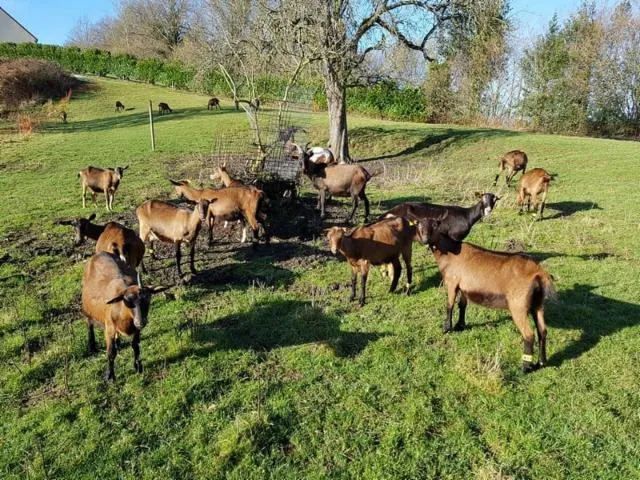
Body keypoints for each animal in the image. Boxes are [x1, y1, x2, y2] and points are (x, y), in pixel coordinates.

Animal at [81, 251, 168, 382]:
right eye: (127, 301)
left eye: (148, 298)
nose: (140, 322)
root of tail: (100, 253)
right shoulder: (109, 328)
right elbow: (111, 353)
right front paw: (109, 376)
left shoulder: (136, 330)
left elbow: (135, 346)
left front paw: (138, 367)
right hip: (87, 310)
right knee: (89, 324)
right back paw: (92, 346)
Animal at [416, 218, 556, 376]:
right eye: (419, 225)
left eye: (434, 225)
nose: (425, 239)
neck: (451, 253)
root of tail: (538, 273)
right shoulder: (464, 287)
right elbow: (462, 305)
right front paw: (460, 326)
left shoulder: (452, 282)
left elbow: (449, 305)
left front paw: (446, 328)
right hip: (537, 304)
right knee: (542, 331)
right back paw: (541, 362)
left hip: (518, 306)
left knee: (529, 334)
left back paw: (525, 367)